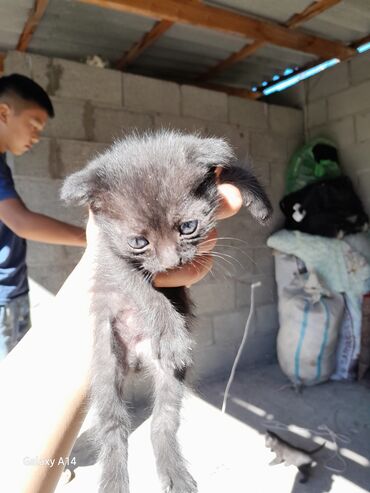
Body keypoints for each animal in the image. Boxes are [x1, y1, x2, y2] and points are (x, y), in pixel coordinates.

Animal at [60, 132, 272, 492]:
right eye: (138, 241)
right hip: (106, 365)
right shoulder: (112, 257)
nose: (173, 263)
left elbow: (231, 170)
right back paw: (114, 481)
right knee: (115, 427)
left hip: (171, 376)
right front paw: (172, 336)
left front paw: (260, 203)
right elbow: (147, 292)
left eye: (188, 226)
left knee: (162, 422)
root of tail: (137, 356)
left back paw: (175, 473)